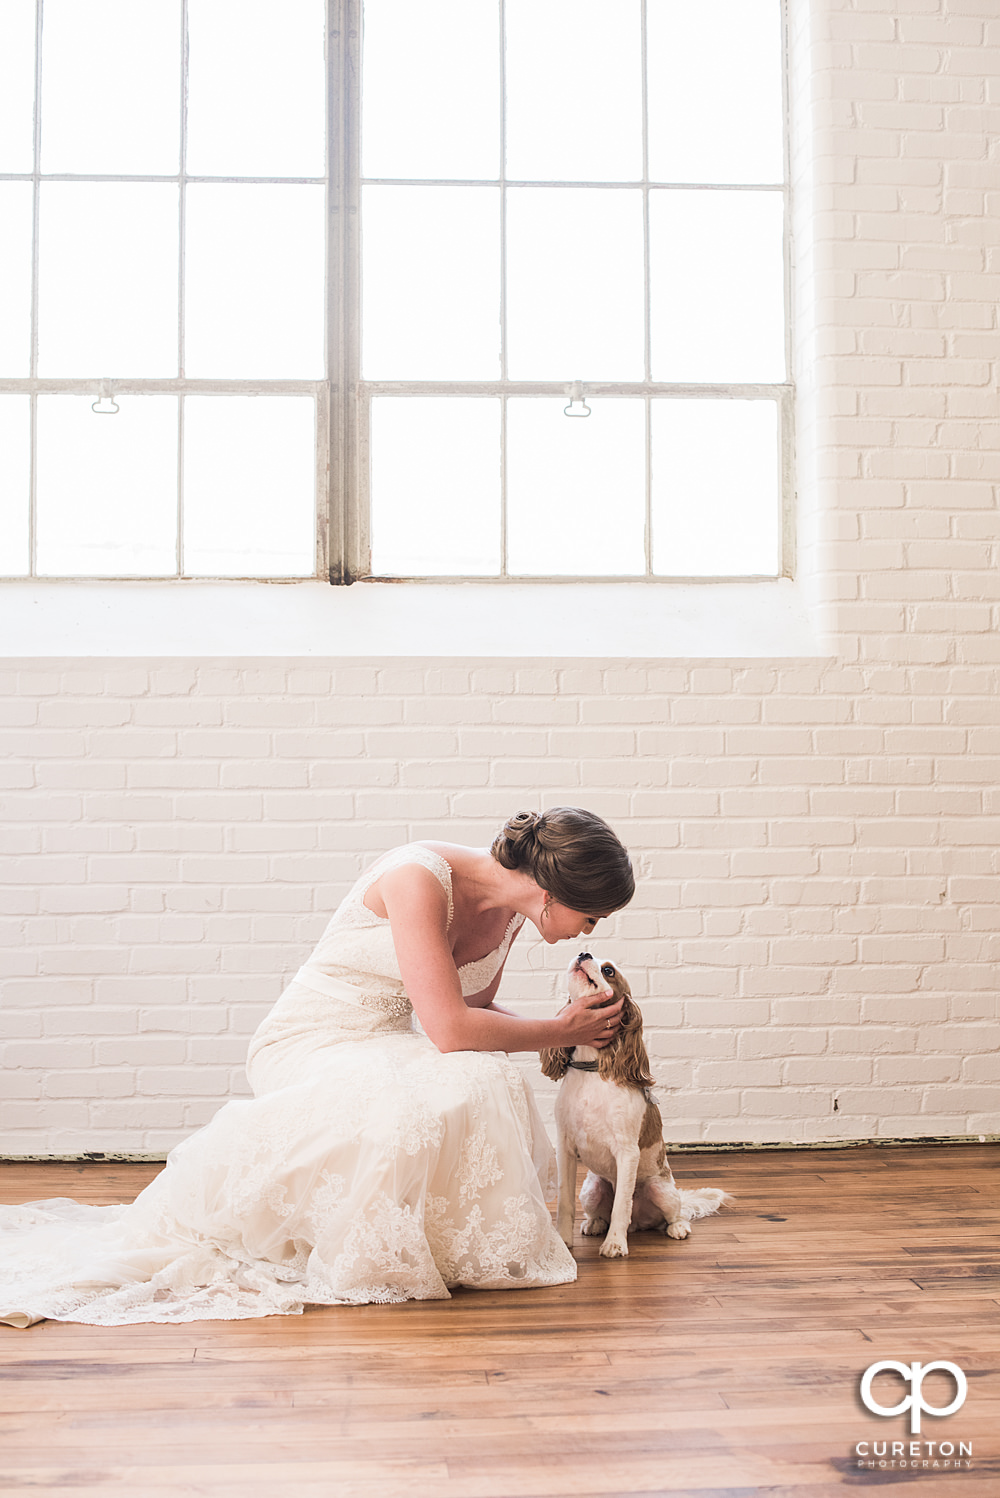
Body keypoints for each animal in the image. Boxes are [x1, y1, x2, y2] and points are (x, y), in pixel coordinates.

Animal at [538, 952, 727, 1258]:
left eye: (608, 971)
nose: (583, 954)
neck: (593, 1070)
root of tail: (640, 1223)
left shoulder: (627, 1152)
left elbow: (621, 1207)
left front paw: (615, 1244)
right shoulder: (565, 1147)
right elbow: (565, 1203)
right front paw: (563, 1243)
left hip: (659, 1188)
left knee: (673, 1214)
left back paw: (677, 1228)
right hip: (592, 1187)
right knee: (599, 1211)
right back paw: (593, 1223)